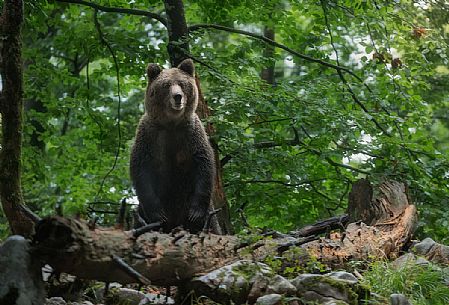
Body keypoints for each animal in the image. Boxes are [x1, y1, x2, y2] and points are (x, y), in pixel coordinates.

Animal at [130, 58, 215, 232]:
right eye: (166, 85)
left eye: (182, 83)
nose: (177, 97)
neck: (171, 124)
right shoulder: (150, 136)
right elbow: (141, 168)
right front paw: (158, 214)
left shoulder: (191, 134)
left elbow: (204, 162)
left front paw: (195, 214)